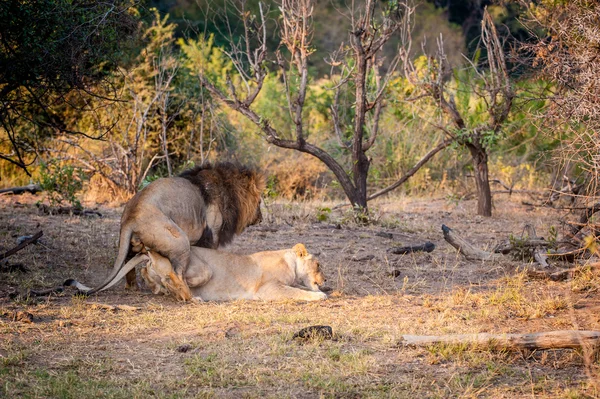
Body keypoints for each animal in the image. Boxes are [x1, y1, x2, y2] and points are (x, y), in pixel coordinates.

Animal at [79, 162, 264, 300]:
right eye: (260, 202)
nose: (261, 219)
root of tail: (130, 216)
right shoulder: (211, 235)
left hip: (135, 245)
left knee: (128, 264)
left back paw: (134, 287)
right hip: (179, 241)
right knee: (177, 274)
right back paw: (191, 297)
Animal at [141, 244, 328, 304]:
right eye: (318, 265)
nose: (326, 279)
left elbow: (301, 288)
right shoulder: (268, 288)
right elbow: (296, 291)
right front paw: (320, 296)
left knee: (151, 276)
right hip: (203, 270)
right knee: (175, 281)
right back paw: (191, 296)